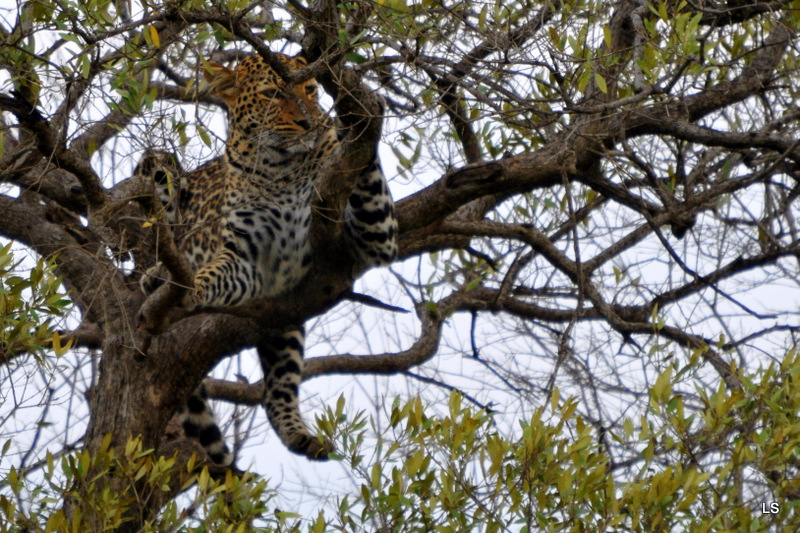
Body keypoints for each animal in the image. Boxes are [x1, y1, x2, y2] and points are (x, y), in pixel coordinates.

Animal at [140, 52, 400, 464]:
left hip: (284, 330)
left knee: (276, 389)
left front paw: (351, 116)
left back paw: (300, 436)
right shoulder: (245, 258)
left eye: (310, 90)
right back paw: (157, 275)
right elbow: (211, 273)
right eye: (272, 94)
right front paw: (187, 286)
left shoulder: (372, 238)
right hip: (159, 168)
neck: (280, 169)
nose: (310, 122)